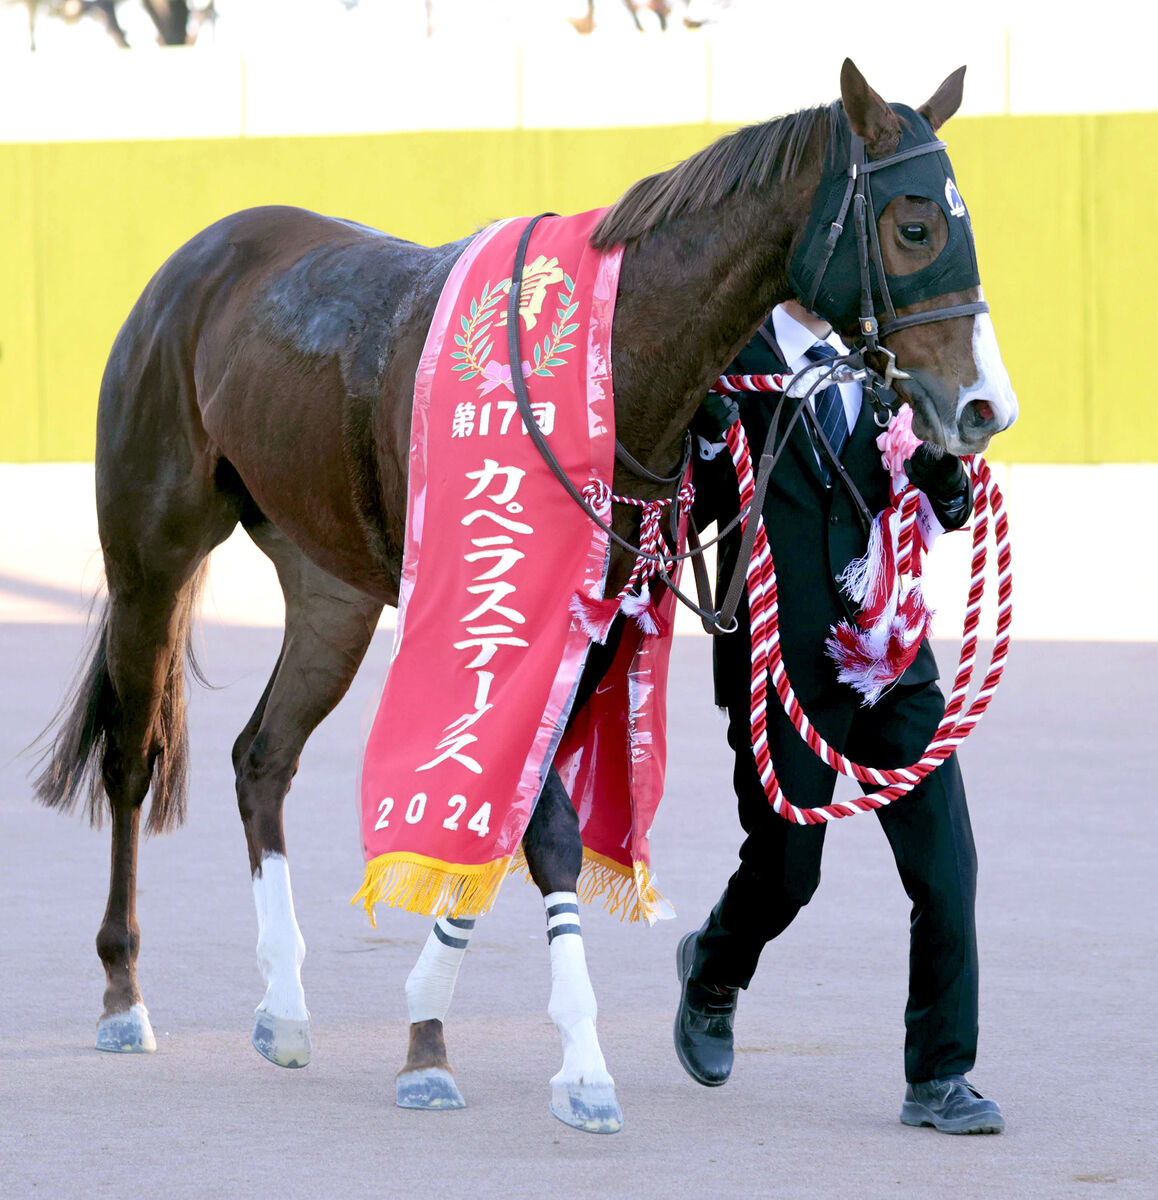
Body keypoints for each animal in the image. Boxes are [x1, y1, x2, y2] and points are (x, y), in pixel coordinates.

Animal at [33, 63, 1012, 1132]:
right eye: (915, 226)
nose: (984, 408)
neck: (605, 362)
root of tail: (200, 257)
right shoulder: (502, 613)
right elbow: (542, 831)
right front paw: (577, 1064)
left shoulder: (595, 625)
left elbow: (508, 816)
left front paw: (425, 1029)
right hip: (150, 548)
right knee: (132, 756)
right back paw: (123, 994)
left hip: (328, 581)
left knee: (264, 757)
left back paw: (285, 1007)